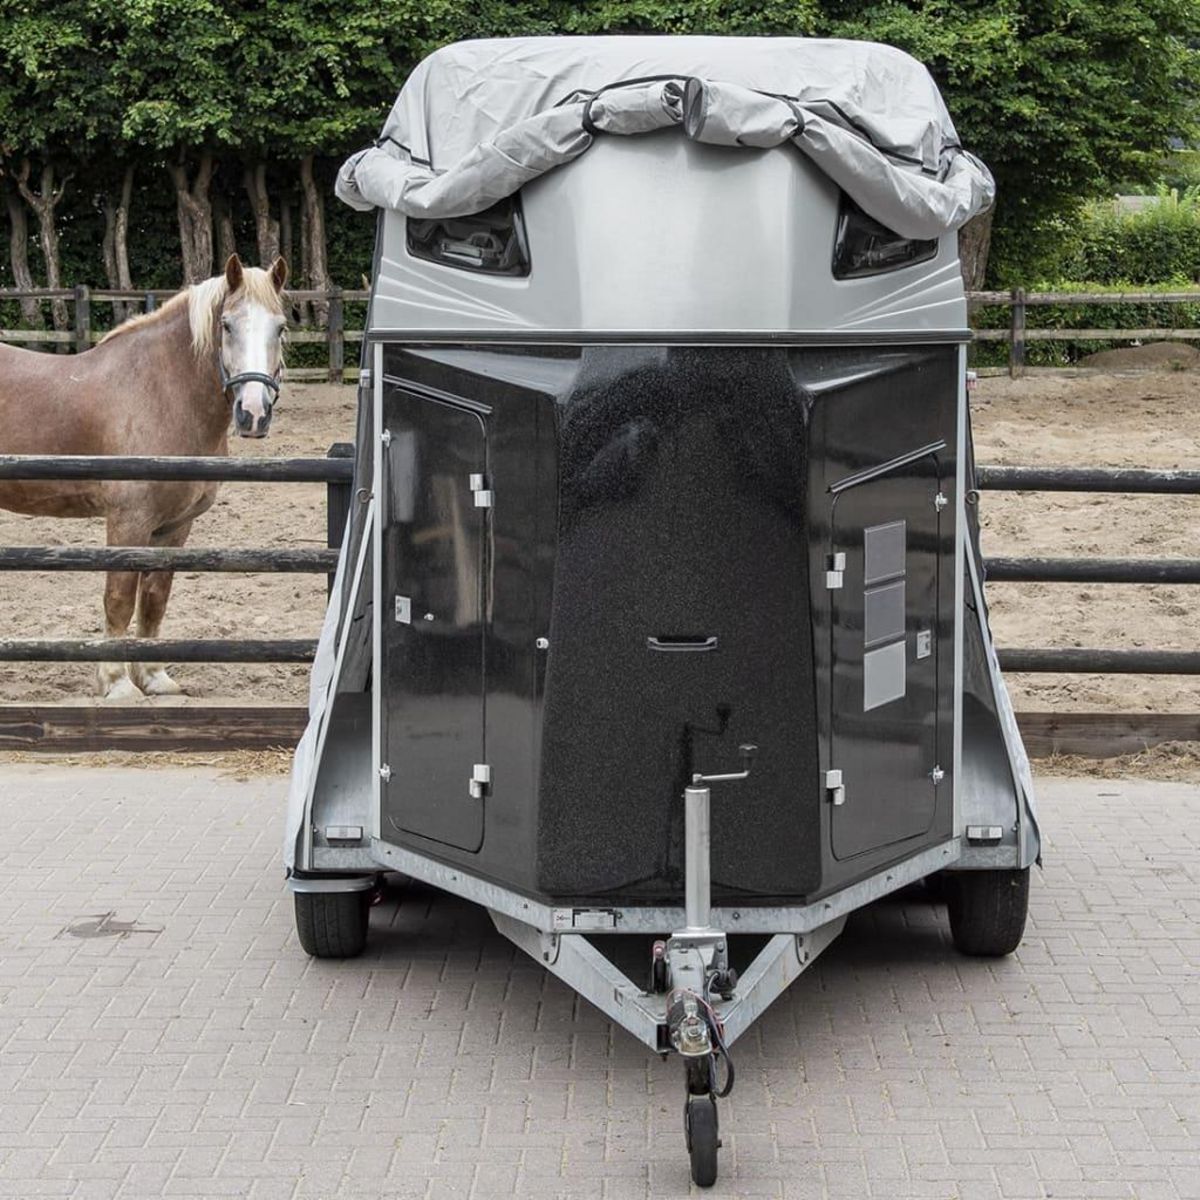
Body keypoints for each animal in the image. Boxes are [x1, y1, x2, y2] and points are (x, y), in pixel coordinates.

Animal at [0, 254, 288, 700]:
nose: (253, 413)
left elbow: (154, 599)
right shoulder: (128, 521)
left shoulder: (174, 526)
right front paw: (117, 684)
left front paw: (154, 677)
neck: (162, 393)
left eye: (281, 326)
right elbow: (119, 597)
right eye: (226, 325)